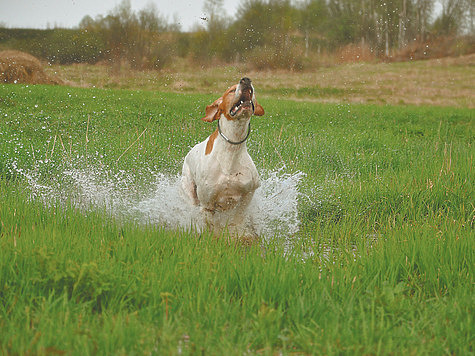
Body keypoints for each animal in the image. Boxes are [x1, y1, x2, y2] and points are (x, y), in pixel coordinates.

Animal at [181, 77, 266, 236]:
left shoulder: (249, 192)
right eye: (231, 90)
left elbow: (237, 221)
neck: (231, 150)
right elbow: (212, 228)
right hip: (189, 191)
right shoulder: (207, 205)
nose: (246, 80)